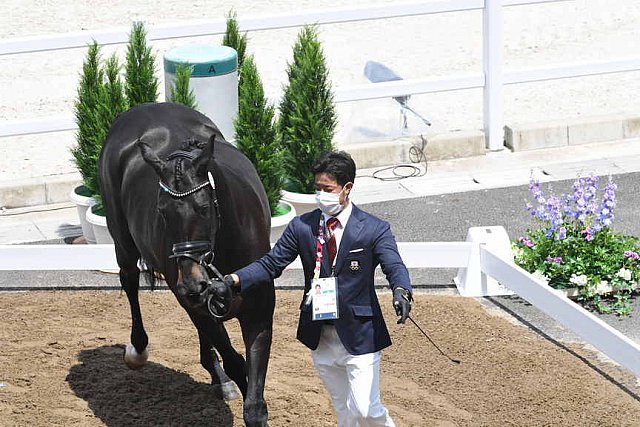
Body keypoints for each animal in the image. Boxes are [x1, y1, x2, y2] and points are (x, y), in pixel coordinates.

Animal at [99, 102, 274, 426]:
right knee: (129, 282)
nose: (192, 284)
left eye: (203, 208)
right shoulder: (196, 307)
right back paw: (138, 350)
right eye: (162, 211)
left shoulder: (259, 316)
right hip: (123, 244)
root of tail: (145, 108)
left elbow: (254, 403)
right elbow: (236, 363)